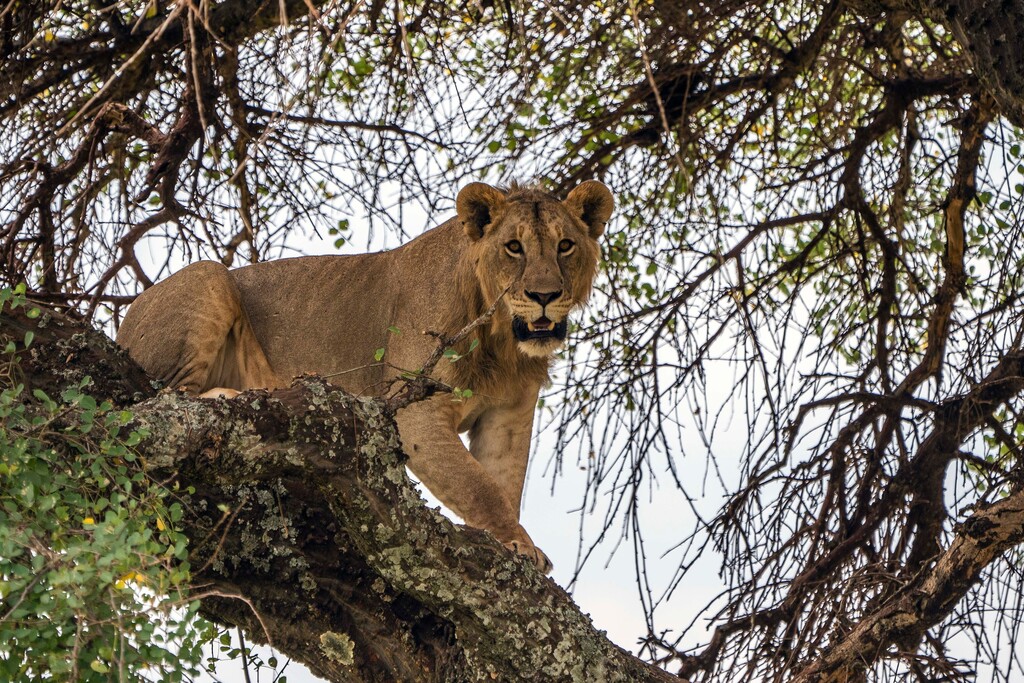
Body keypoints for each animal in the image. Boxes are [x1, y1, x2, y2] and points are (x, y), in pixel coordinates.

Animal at [116, 180, 615, 572]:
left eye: (565, 246)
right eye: (514, 247)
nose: (545, 296)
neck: (502, 343)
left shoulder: (508, 416)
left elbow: (502, 484)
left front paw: (516, 543)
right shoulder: (416, 413)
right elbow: (481, 488)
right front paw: (518, 544)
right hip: (209, 276)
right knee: (166, 399)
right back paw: (231, 394)